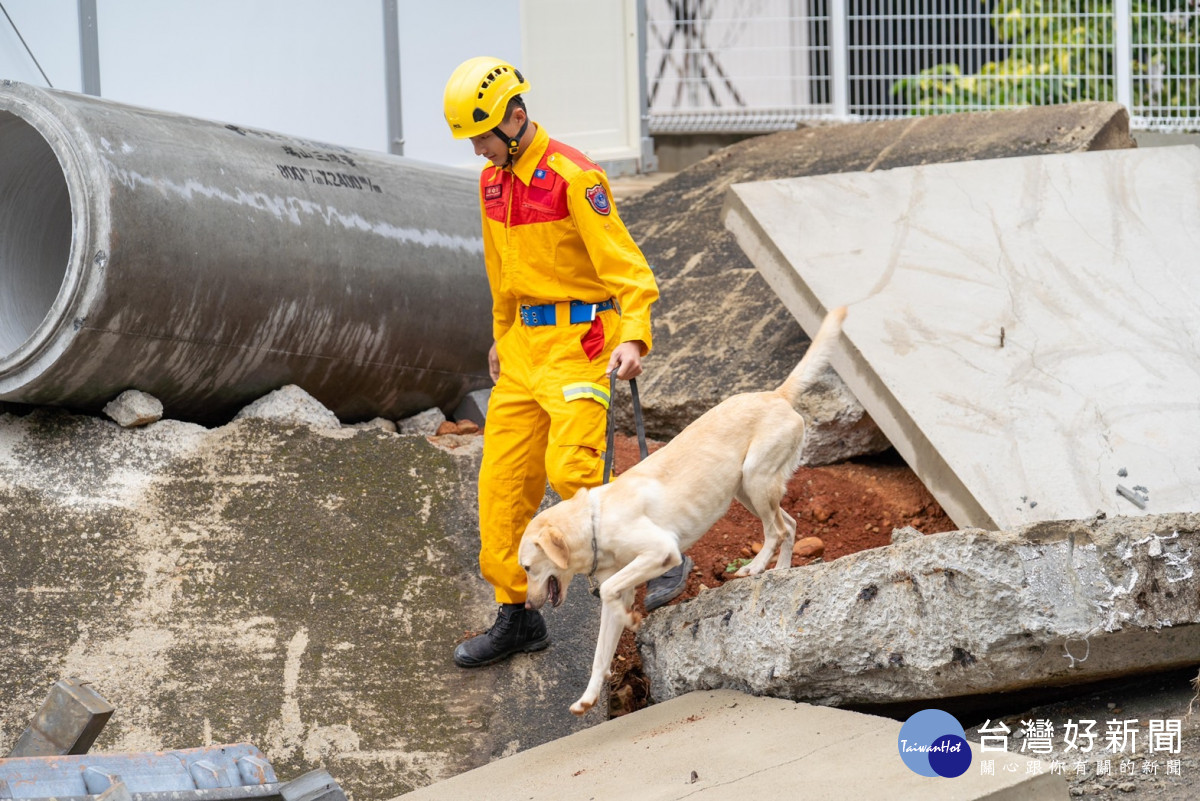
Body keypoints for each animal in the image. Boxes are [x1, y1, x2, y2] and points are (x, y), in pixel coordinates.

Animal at [520, 304, 849, 714]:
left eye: (527, 568)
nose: (528, 606)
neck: (595, 522)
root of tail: (776, 394)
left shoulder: (661, 551)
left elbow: (610, 588)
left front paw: (632, 619)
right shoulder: (620, 589)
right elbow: (600, 651)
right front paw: (589, 697)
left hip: (756, 480)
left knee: (778, 530)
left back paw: (756, 568)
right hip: (747, 489)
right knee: (788, 523)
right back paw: (781, 572)